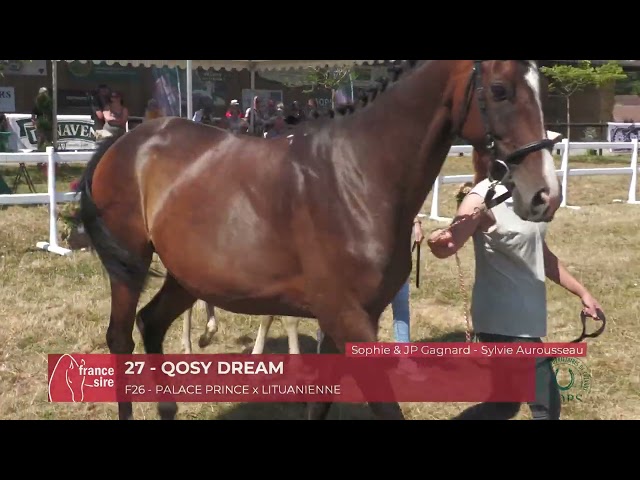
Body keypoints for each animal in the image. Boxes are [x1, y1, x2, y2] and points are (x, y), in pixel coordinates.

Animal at [78, 60, 563, 421]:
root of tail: (128, 140)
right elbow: (384, 405)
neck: (356, 175)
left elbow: (320, 401)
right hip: (131, 267)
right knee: (120, 338)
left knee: (151, 324)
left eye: (541, 89)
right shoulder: (347, 316)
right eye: (499, 90)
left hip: (188, 277)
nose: (545, 195)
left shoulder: (346, 317)